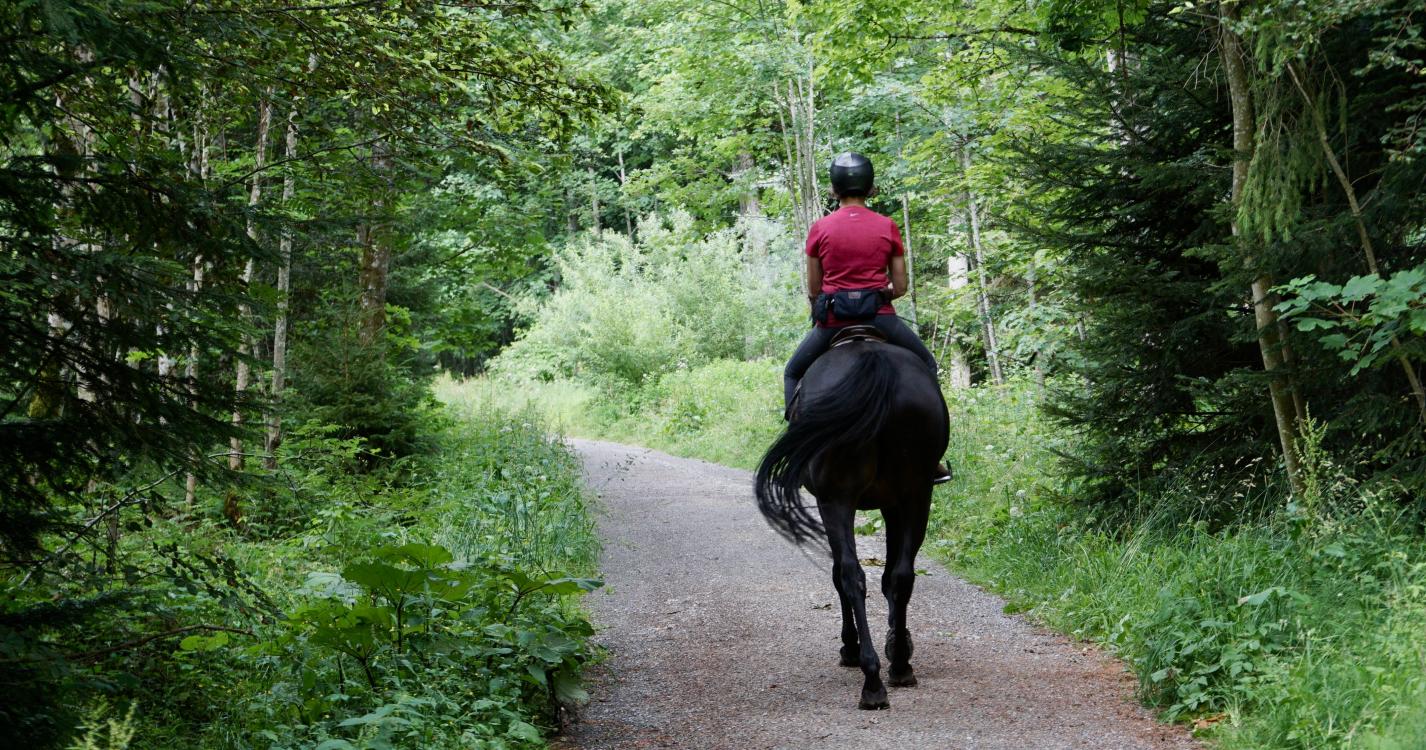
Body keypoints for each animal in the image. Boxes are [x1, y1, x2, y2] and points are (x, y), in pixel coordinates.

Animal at [755, 336, 949, 710]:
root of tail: (873, 361)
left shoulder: (836, 502)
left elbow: (840, 574)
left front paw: (853, 645)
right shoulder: (894, 502)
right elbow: (890, 576)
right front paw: (897, 641)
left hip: (837, 499)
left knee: (849, 575)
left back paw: (870, 676)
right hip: (917, 494)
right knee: (900, 576)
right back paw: (898, 666)